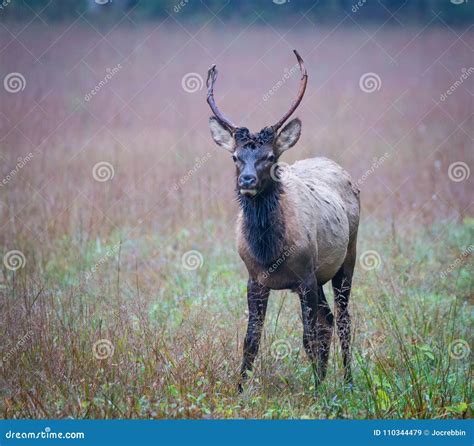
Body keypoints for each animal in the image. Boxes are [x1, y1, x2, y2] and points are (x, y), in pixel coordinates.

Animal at [206, 49, 360, 394]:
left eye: (270, 157)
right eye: (235, 157)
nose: (247, 180)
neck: (270, 252)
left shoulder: (304, 275)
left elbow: (307, 338)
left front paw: (317, 391)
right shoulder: (254, 278)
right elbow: (251, 340)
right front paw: (239, 391)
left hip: (347, 258)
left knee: (342, 320)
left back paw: (348, 381)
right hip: (320, 276)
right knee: (328, 320)